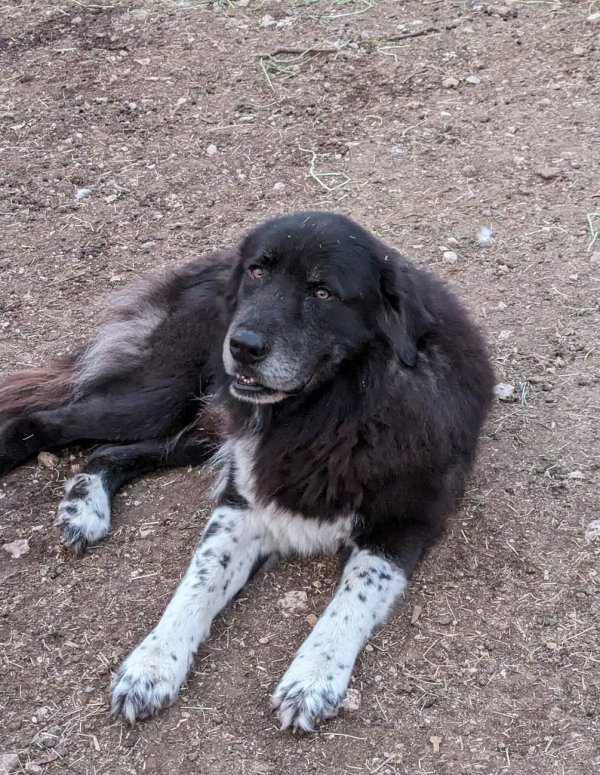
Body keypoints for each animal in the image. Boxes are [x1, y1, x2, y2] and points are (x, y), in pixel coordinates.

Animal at [0, 212, 492, 732]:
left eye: (322, 292)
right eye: (257, 272)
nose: (241, 345)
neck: (329, 414)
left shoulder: (404, 524)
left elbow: (350, 601)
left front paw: (312, 679)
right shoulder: (241, 500)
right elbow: (197, 582)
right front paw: (151, 665)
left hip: (196, 429)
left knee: (110, 452)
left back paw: (84, 508)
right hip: (162, 398)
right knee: (39, 421)